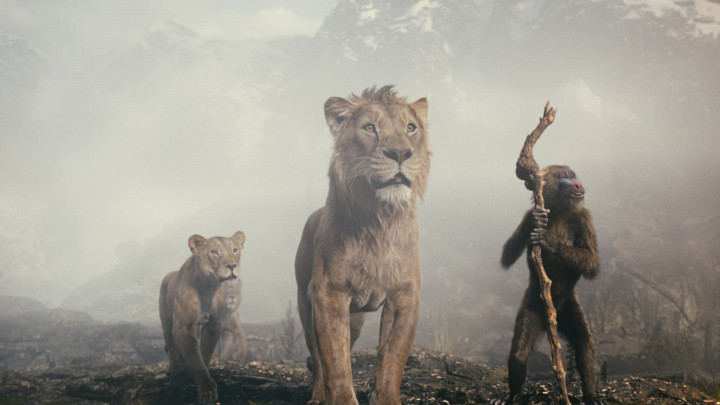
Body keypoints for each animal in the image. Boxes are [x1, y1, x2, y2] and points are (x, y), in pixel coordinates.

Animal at [159, 231, 245, 405]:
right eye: (214, 252)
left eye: (235, 250)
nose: (232, 266)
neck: (207, 287)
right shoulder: (183, 327)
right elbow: (194, 358)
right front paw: (207, 391)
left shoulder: (213, 324)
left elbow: (204, 353)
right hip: (166, 321)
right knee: (171, 345)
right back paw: (175, 373)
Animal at [295, 86, 430, 405]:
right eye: (370, 128)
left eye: (411, 127)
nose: (400, 153)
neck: (380, 220)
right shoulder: (329, 294)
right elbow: (335, 362)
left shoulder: (405, 296)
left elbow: (392, 359)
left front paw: (385, 398)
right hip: (306, 303)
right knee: (318, 359)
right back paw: (318, 396)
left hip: (355, 318)